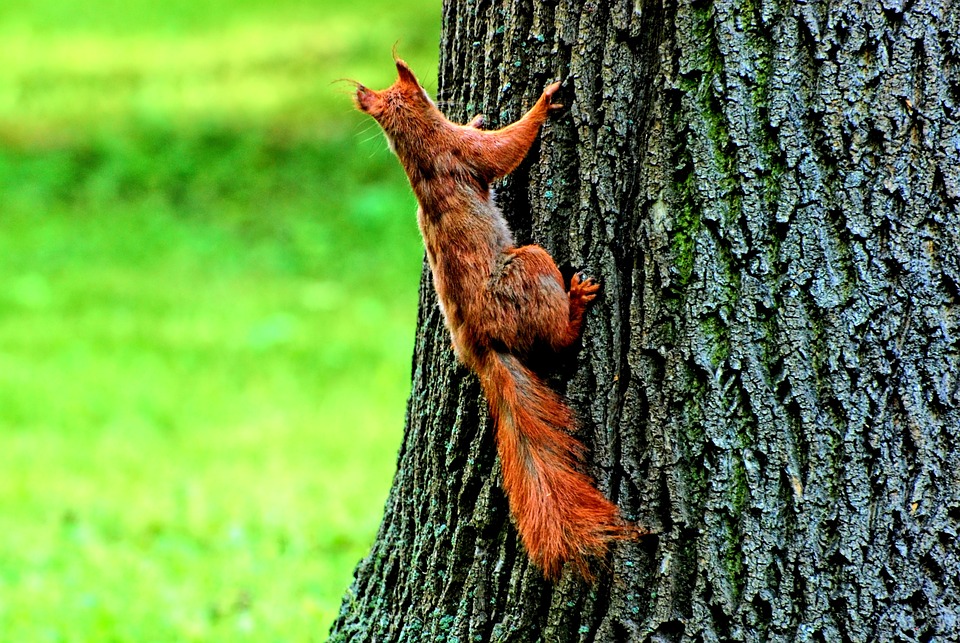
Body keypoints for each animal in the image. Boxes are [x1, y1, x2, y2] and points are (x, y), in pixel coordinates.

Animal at [350, 55, 636, 580]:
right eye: (418, 87)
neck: (419, 151)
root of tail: (481, 345)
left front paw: (477, 116)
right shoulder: (467, 155)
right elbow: (507, 149)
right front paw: (543, 104)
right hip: (530, 268)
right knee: (556, 335)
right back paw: (576, 306)